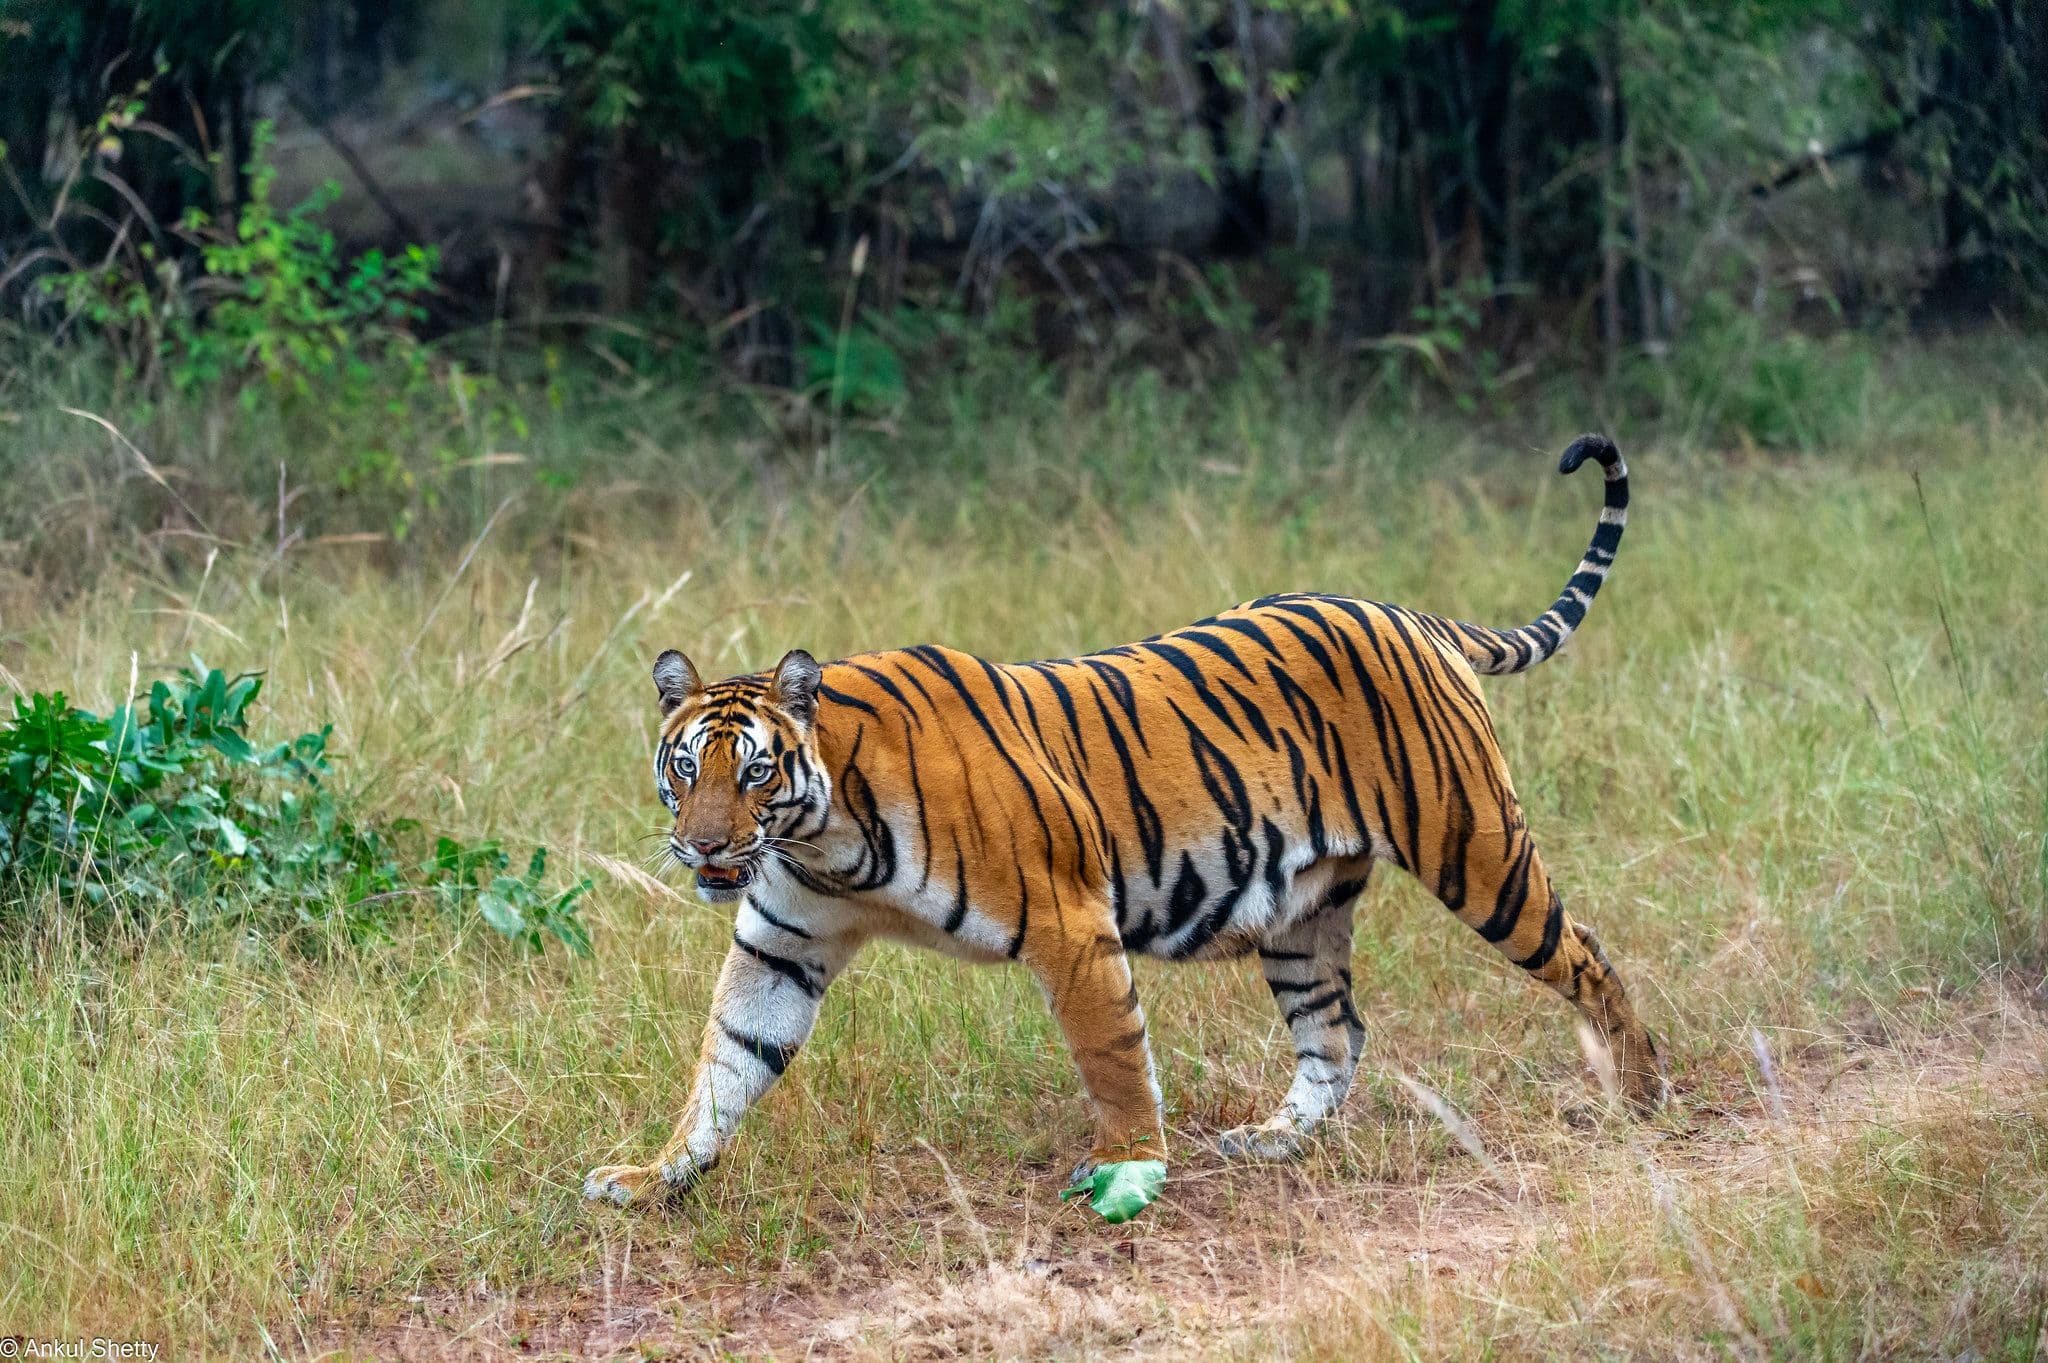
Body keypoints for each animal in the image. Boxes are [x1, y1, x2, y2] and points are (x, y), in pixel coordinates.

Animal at [583, 433, 1665, 1218]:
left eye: (756, 772)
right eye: (686, 770)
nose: (705, 846)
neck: (825, 843)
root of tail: (1412, 614)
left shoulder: (1070, 924)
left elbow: (1113, 1058)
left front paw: (1130, 1172)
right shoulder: (783, 946)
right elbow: (725, 1065)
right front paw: (651, 1176)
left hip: (1476, 850)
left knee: (1586, 951)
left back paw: (1642, 1092)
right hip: (1301, 912)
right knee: (1336, 1031)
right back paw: (1275, 1139)